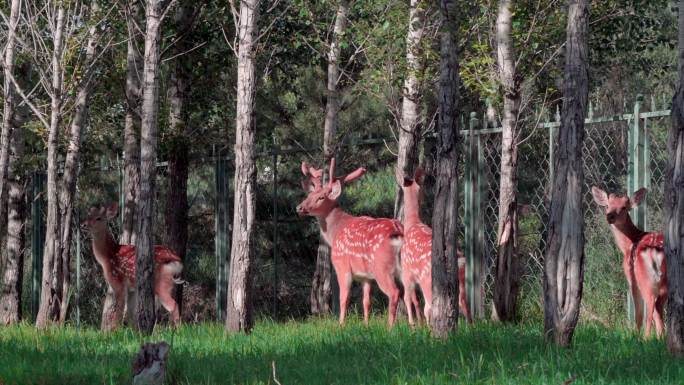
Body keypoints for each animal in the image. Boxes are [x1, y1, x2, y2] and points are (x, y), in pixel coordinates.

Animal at [296, 158, 404, 328]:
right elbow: (366, 301)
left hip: (382, 267)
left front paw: (341, 325)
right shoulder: (366, 276)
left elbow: (343, 298)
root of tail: (398, 229)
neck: (335, 232)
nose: (299, 207)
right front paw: (366, 325)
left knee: (394, 292)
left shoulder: (342, 266)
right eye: (310, 194)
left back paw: (390, 328)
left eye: (321, 197)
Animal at [398, 166, 472, 326]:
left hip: (428, 280)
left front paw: (413, 324)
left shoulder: (406, 270)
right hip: (461, 280)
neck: (412, 224)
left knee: (430, 307)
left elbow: (408, 298)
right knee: (464, 304)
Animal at [592, 188, 664, 338]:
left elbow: (638, 312)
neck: (627, 246)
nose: (610, 216)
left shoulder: (631, 277)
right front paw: (660, 337)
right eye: (608, 205)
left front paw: (635, 335)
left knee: (650, 307)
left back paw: (646, 338)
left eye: (624, 207)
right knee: (658, 309)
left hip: (645, 279)